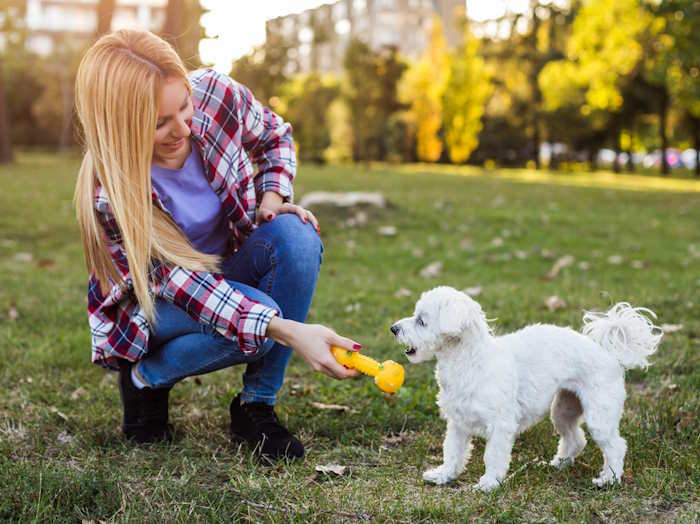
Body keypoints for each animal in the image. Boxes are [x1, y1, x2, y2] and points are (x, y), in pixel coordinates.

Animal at [392, 286, 664, 492]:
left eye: (421, 321)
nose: (393, 328)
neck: (470, 362)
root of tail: (609, 354)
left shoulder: (501, 426)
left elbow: (493, 456)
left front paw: (489, 484)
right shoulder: (458, 424)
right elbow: (453, 452)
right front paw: (444, 475)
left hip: (600, 415)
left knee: (616, 446)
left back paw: (609, 479)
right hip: (563, 409)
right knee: (575, 439)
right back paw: (558, 464)